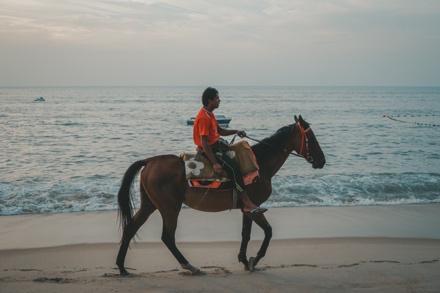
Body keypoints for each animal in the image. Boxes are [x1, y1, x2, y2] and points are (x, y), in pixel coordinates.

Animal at [115, 114, 324, 274]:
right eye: (311, 137)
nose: (322, 160)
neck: (260, 163)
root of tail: (149, 161)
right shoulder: (253, 207)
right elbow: (266, 232)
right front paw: (254, 259)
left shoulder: (247, 210)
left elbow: (247, 234)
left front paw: (245, 259)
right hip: (170, 207)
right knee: (167, 237)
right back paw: (190, 266)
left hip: (150, 204)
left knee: (131, 228)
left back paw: (122, 267)